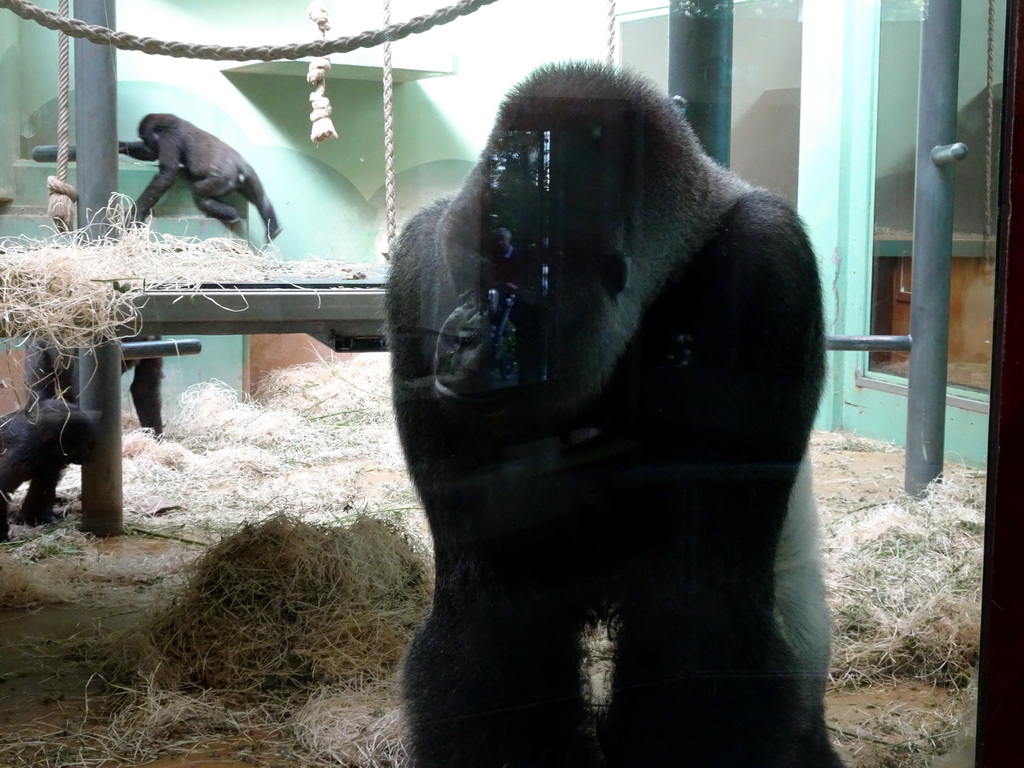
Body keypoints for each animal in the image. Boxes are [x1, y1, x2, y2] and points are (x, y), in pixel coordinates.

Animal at [1, 399, 94, 544]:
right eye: (80, 446)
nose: (86, 453)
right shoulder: (24, 452)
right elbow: (2, 488)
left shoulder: (51, 460)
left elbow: (43, 484)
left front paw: (36, 517)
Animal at [129, 112, 280, 240]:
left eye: (145, 138)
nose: (147, 144)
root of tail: (241, 166)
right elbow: (151, 155)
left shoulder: (169, 138)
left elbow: (166, 175)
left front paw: (135, 213)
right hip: (250, 176)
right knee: (261, 199)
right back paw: (273, 230)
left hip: (224, 180)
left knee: (200, 193)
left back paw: (232, 216)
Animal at [385, 63, 839, 768]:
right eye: (467, 267)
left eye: (515, 286)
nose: (460, 338)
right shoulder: (417, 266)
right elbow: (490, 598)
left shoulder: (767, 265)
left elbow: (702, 603)